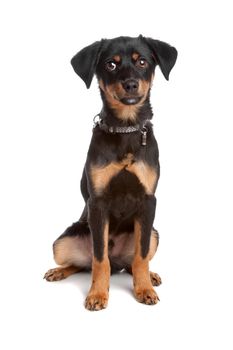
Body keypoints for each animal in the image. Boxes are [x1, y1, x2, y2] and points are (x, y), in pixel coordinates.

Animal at [44, 34, 177, 310]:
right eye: (111, 65)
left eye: (142, 61)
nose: (131, 84)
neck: (125, 130)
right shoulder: (98, 203)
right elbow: (99, 258)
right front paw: (97, 295)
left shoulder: (148, 202)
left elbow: (141, 256)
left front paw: (144, 289)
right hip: (62, 242)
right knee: (84, 263)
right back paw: (58, 271)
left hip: (154, 233)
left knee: (131, 262)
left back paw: (150, 276)